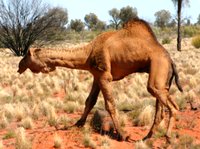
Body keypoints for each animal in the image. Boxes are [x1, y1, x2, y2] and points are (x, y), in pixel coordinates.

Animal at [18, 18, 183, 141]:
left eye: (26, 55)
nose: (19, 66)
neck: (88, 53)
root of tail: (170, 60)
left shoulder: (104, 75)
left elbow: (110, 104)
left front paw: (122, 134)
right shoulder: (96, 76)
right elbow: (89, 101)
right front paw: (77, 124)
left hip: (158, 69)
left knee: (172, 106)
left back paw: (167, 137)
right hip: (162, 79)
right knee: (161, 108)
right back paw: (147, 137)